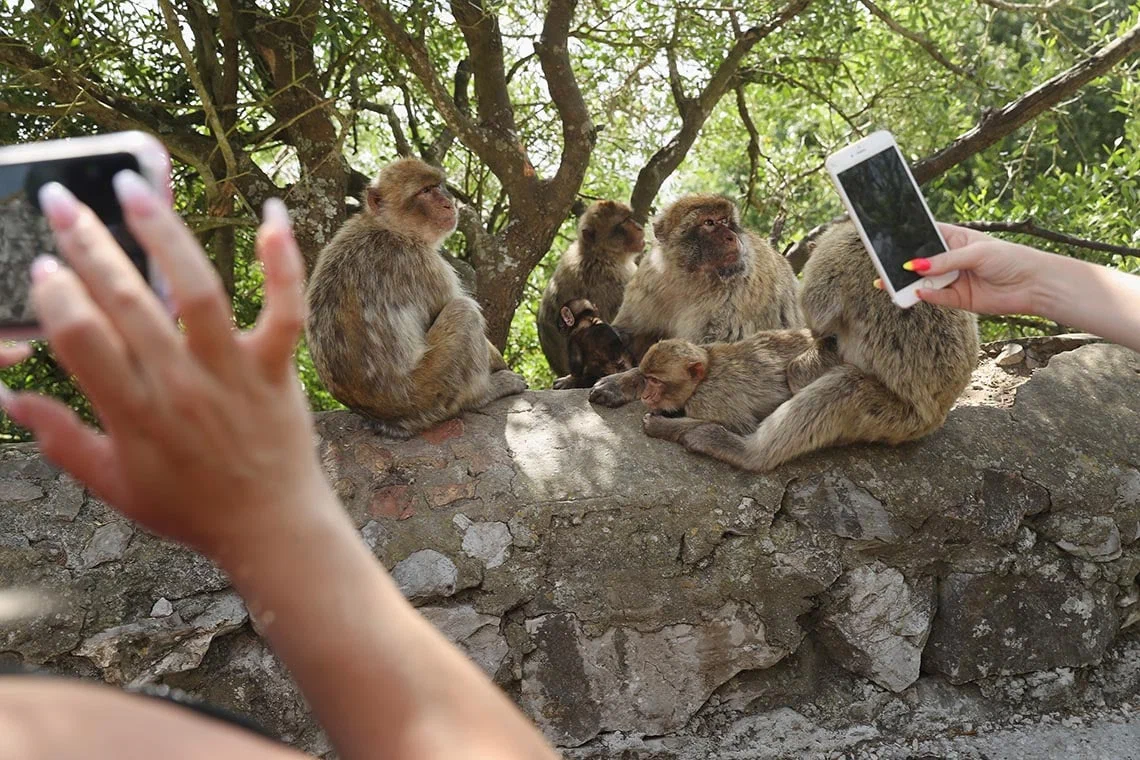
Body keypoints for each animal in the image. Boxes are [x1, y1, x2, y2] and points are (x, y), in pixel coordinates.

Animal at [303, 157, 524, 437]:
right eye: (426, 191)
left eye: (438, 186)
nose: (448, 202)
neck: (387, 226)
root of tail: (388, 419)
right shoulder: (425, 264)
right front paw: (501, 365)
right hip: (433, 390)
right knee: (463, 311)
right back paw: (484, 393)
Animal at [588, 195, 802, 410]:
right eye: (709, 223)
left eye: (725, 221)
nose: (732, 237)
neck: (690, 279)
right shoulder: (649, 277)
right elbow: (631, 331)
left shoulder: (737, 293)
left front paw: (624, 382)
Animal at [642, 330, 820, 432]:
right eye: (647, 378)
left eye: (655, 381)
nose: (644, 396)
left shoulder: (707, 401)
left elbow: (742, 428)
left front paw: (659, 425)